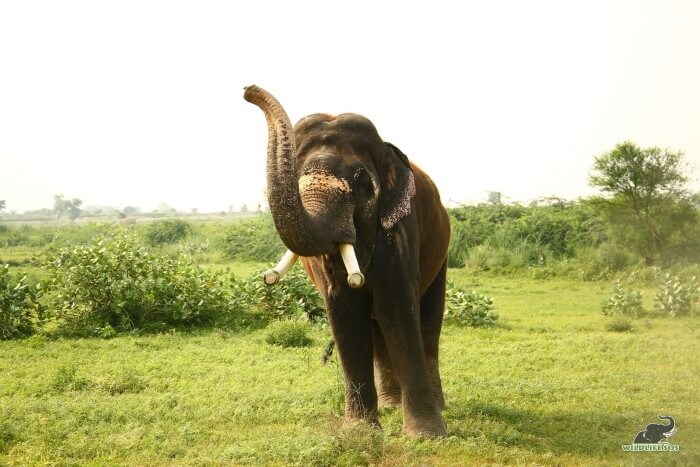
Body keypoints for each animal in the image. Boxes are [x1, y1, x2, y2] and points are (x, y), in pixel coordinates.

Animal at [243, 85, 452, 438]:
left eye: (362, 183)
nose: (248, 90)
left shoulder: (403, 229)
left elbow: (398, 309)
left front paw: (426, 436)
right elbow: (344, 313)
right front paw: (360, 433)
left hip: (442, 249)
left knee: (428, 321)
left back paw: (437, 407)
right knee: (376, 326)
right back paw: (391, 406)